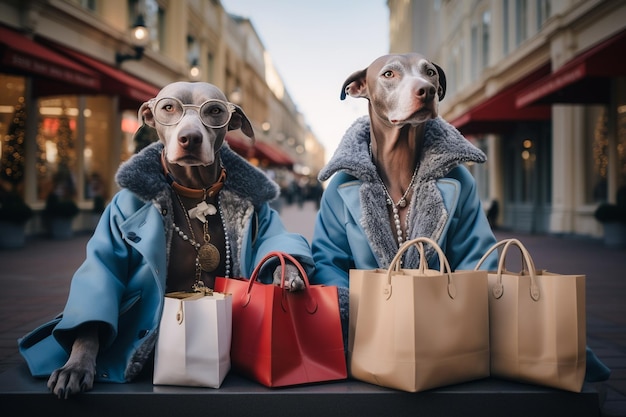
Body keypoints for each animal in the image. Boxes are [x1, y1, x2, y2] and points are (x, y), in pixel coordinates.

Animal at [18, 81, 310, 396]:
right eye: (168, 107)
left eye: (215, 111)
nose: (190, 138)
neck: (195, 192)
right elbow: (102, 284)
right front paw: (76, 364)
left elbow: (274, 246)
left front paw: (287, 272)